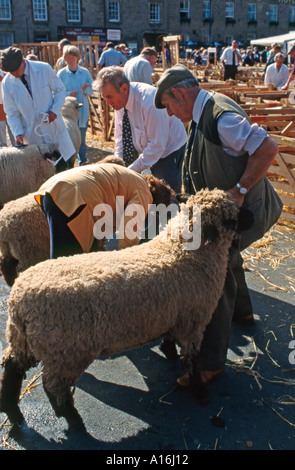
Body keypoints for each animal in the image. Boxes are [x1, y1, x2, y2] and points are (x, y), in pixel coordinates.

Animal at [0, 189, 254, 432]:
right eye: (232, 218)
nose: (251, 216)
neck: (180, 251)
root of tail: (18, 303)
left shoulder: (172, 315)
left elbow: (170, 340)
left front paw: (169, 352)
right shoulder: (193, 324)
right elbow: (192, 362)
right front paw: (200, 392)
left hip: (24, 340)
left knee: (11, 367)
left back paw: (14, 414)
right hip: (66, 351)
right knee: (53, 387)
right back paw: (72, 419)